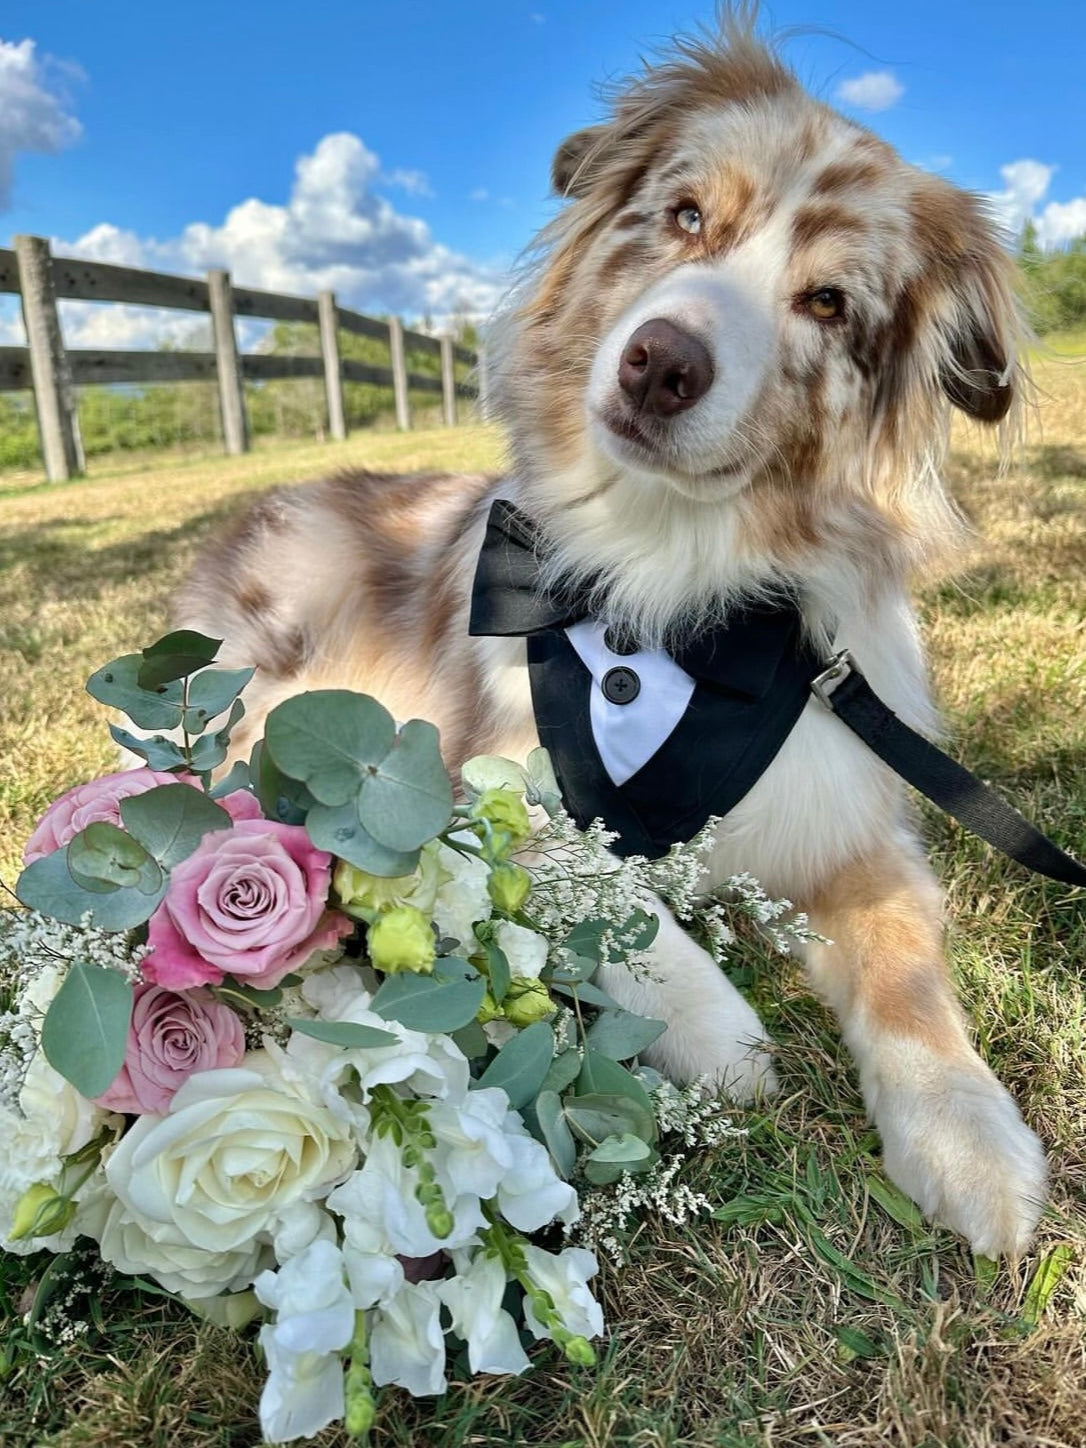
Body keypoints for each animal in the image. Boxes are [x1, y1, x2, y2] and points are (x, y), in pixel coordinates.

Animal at [176, 19, 1048, 1256]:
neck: (673, 594)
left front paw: (969, 1136)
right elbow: (637, 920)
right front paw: (722, 1033)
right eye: (684, 215)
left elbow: (909, 972)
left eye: (830, 302)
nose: (662, 360)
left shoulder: (848, 813)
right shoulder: (486, 795)